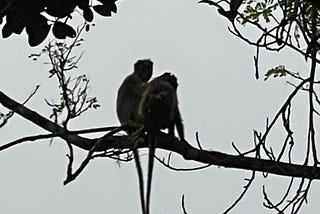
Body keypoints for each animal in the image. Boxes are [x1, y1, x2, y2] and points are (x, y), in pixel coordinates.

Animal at [138, 72, 185, 214]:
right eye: (175, 83)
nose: (176, 85)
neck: (162, 78)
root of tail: (151, 124)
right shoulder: (172, 92)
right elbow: (176, 115)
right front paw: (182, 140)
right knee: (170, 108)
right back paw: (170, 135)